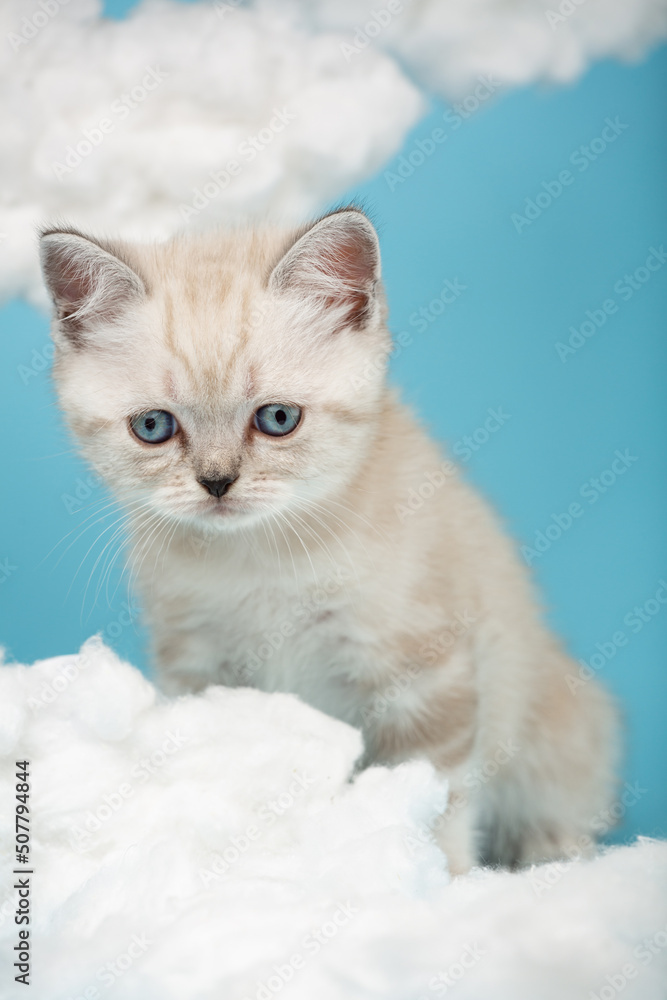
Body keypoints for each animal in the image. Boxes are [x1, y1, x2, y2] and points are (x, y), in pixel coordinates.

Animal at [39, 211, 620, 876]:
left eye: (278, 419)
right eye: (153, 427)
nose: (217, 481)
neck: (261, 558)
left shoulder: (424, 669)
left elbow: (435, 795)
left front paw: (439, 879)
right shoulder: (199, 666)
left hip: (554, 722)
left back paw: (548, 849)